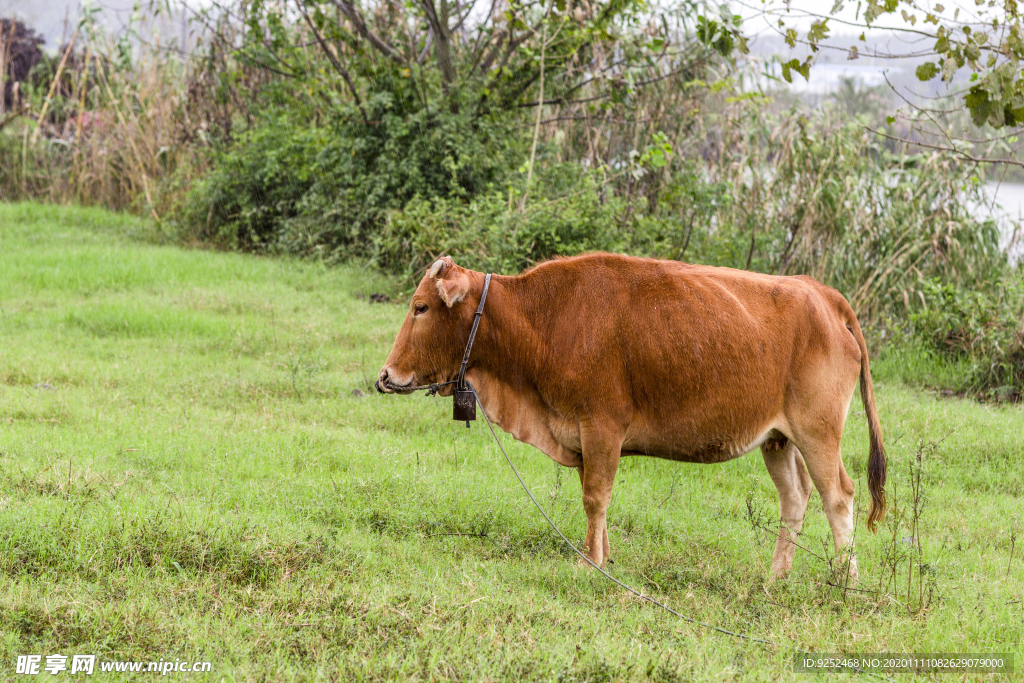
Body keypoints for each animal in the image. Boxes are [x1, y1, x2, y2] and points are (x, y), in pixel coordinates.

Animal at [380, 253, 884, 581]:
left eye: (421, 307)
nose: (386, 376)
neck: (541, 320)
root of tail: (822, 293)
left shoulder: (601, 428)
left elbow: (594, 499)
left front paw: (590, 564)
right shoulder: (582, 437)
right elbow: (595, 501)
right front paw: (602, 557)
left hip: (818, 433)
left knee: (838, 496)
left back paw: (846, 582)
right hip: (779, 439)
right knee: (795, 499)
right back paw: (776, 577)